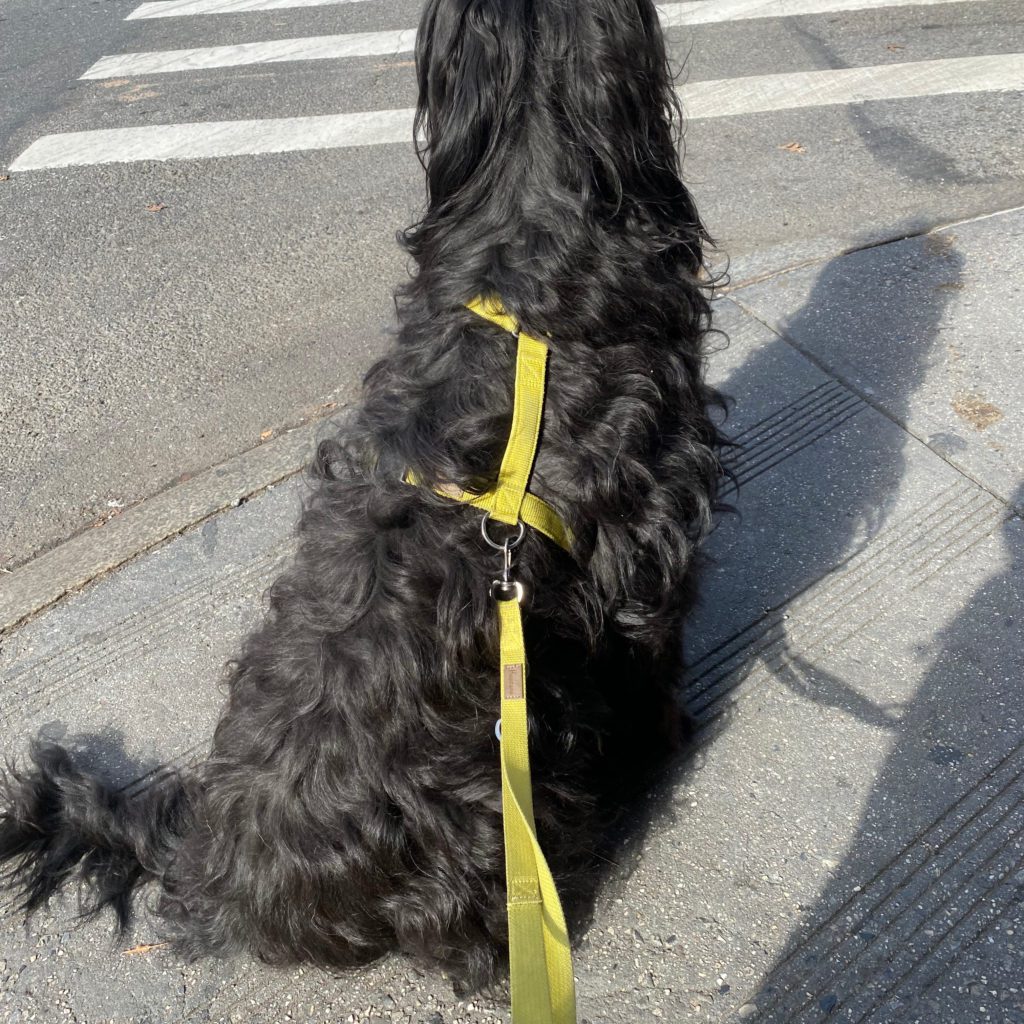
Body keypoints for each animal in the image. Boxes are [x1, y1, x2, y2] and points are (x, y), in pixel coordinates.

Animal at [0, 0, 723, 1000]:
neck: (523, 219)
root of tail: (216, 857)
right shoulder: (646, 546)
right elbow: (654, 657)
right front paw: (674, 737)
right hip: (505, 781)